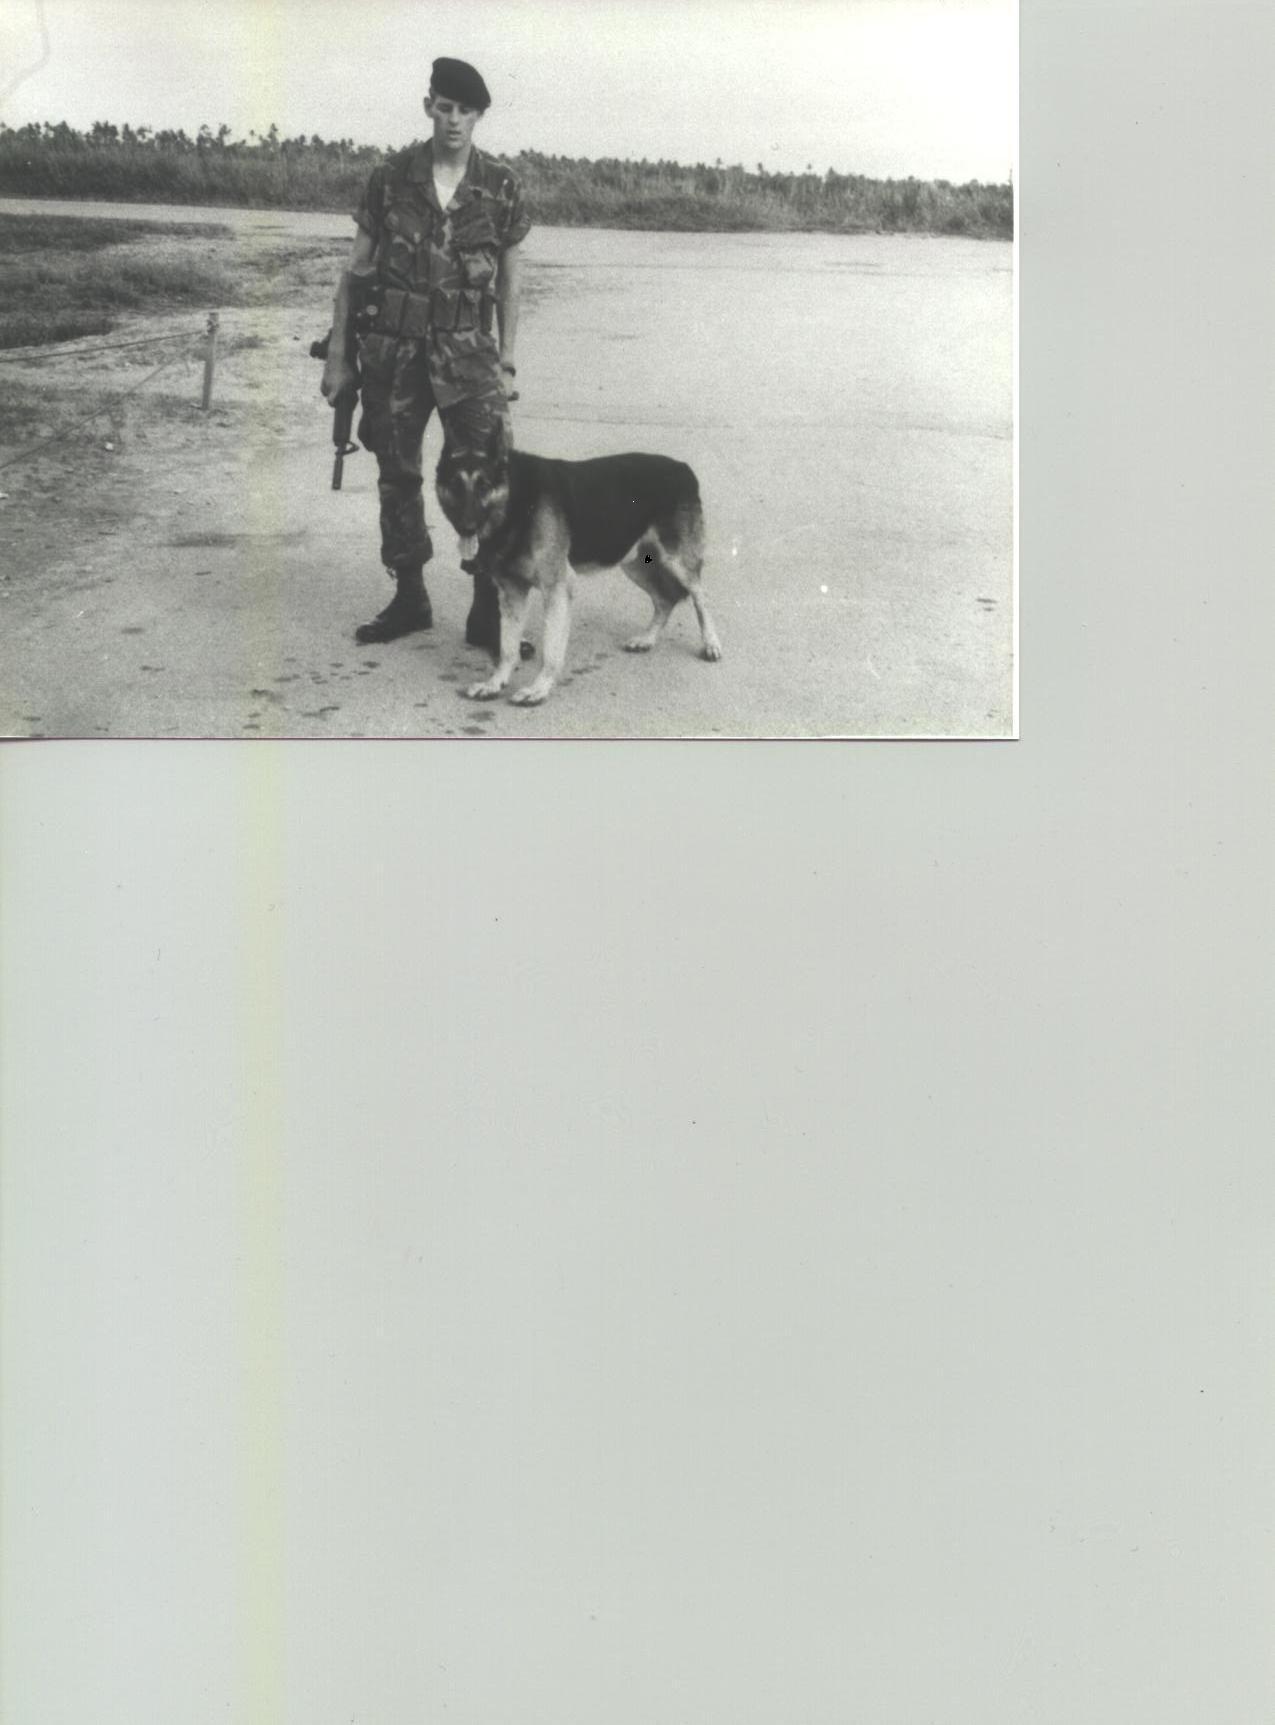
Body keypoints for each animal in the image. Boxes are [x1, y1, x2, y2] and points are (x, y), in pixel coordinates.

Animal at [435, 419, 722, 705]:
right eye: (455, 485)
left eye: (484, 486)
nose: (467, 527)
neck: (517, 501)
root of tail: (683, 467)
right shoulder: (512, 593)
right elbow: (507, 646)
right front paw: (495, 683)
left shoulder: (557, 589)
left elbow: (550, 650)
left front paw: (538, 688)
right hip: (634, 564)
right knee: (665, 599)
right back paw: (647, 639)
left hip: (679, 562)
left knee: (701, 596)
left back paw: (711, 643)